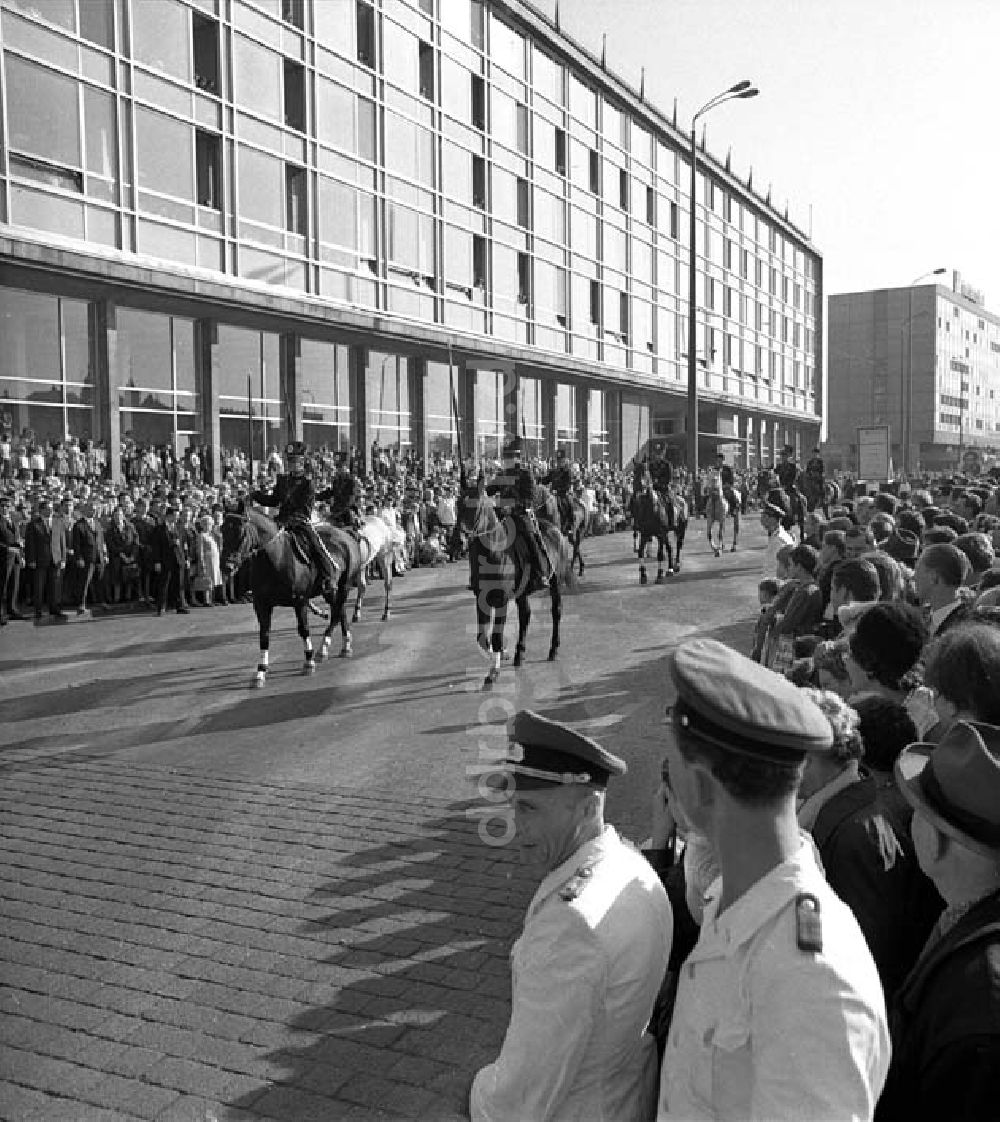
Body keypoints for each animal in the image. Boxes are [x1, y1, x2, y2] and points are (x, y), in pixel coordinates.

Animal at [219, 507, 363, 682]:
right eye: (222, 529)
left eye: (242, 532)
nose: (226, 565)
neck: (275, 559)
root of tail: (346, 534)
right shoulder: (261, 604)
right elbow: (264, 635)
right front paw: (261, 671)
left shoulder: (299, 601)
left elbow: (304, 629)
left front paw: (308, 662)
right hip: (331, 591)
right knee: (340, 612)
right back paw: (345, 645)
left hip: (344, 586)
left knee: (336, 614)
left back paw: (323, 648)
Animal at [457, 477, 574, 686]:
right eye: (456, 504)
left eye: (476, 507)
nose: (459, 541)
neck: (494, 552)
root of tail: (554, 529)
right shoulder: (481, 599)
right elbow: (482, 637)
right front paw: (502, 654)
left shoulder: (501, 600)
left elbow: (495, 636)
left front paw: (494, 671)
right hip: (522, 592)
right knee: (525, 616)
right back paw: (520, 653)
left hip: (555, 583)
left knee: (556, 612)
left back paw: (553, 649)